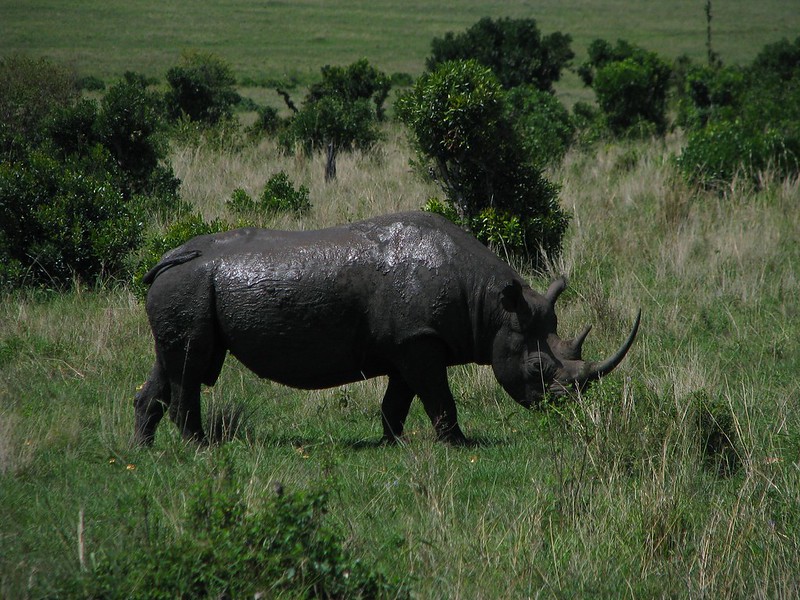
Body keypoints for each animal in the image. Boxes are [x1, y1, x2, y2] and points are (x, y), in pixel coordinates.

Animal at [134, 211, 639, 445]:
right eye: (536, 368)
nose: (565, 410)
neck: (489, 303)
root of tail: (163, 261)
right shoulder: (419, 341)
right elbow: (439, 398)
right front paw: (459, 444)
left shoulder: (409, 342)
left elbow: (397, 400)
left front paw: (391, 442)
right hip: (189, 286)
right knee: (189, 367)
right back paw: (201, 448)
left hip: (182, 289)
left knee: (170, 362)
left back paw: (145, 451)